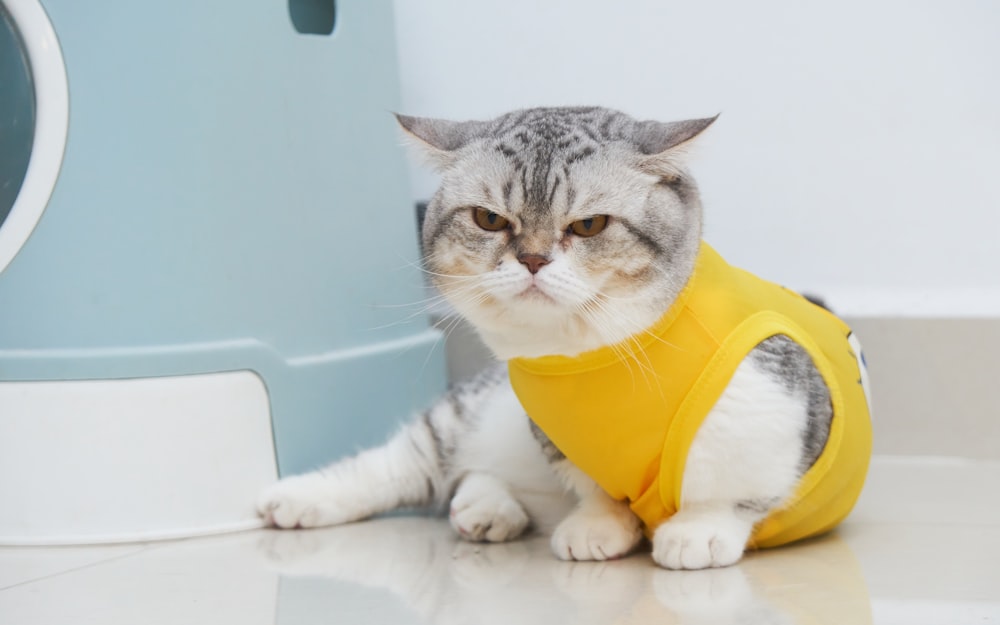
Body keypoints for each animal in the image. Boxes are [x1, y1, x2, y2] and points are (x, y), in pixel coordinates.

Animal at [256, 108, 868, 572]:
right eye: (488, 219)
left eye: (589, 225)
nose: (531, 258)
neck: (588, 355)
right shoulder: (554, 435)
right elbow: (595, 490)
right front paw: (598, 525)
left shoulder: (764, 401)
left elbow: (726, 483)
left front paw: (699, 529)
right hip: (470, 415)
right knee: (408, 464)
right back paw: (301, 498)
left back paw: (487, 509)